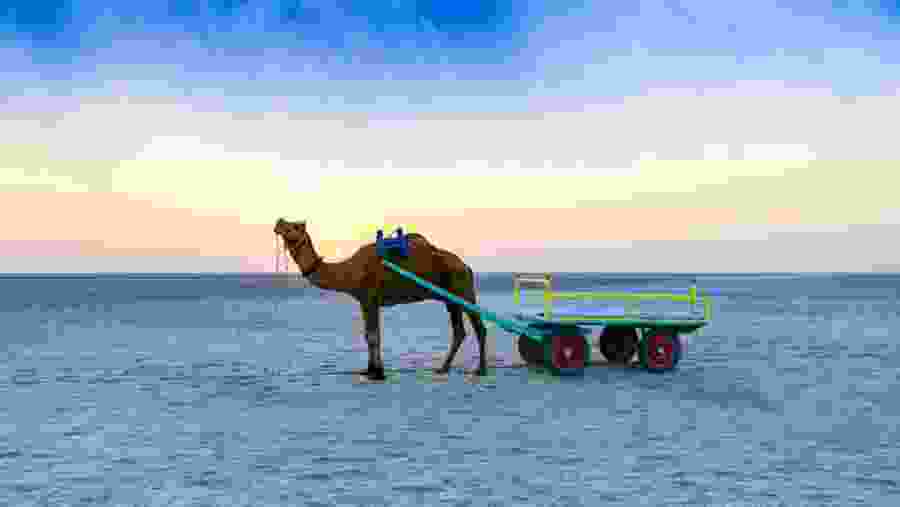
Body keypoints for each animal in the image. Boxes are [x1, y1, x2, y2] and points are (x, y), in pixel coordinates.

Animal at [273, 218, 488, 381]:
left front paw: (378, 373)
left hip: (463, 288)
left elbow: (374, 336)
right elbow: (368, 335)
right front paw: (369, 370)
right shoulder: (364, 301)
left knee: (479, 327)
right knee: (459, 331)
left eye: (293, 226)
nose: (278, 221)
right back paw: (443, 368)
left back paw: (481, 370)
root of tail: (466, 265)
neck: (348, 271)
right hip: (450, 298)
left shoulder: (370, 298)